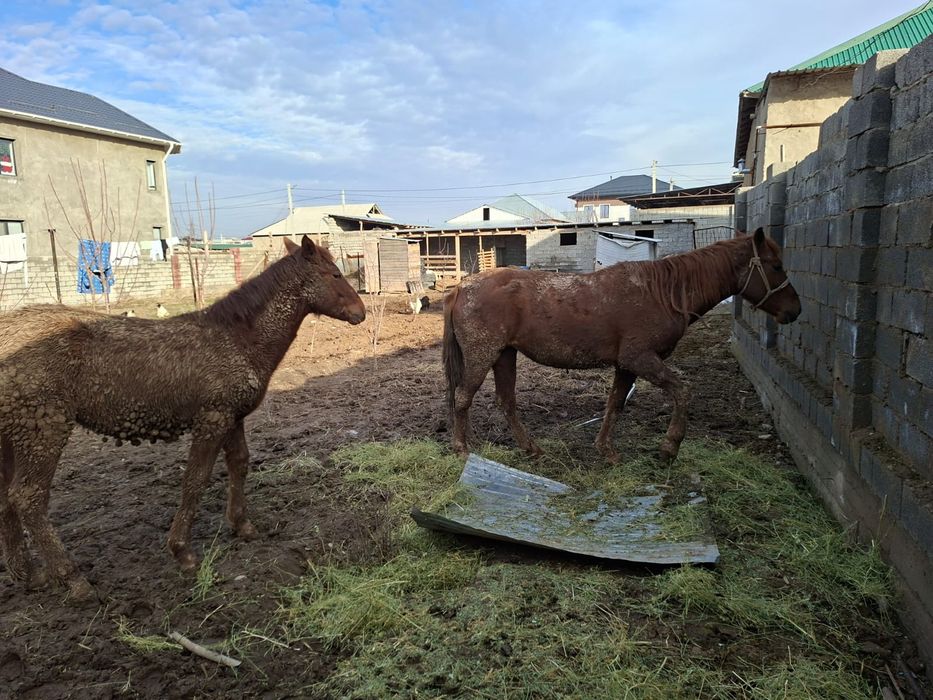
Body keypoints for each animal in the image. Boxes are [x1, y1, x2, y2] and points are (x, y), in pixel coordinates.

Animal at [0, 235, 365, 600]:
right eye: (334, 274)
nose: (360, 312)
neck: (238, 339)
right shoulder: (212, 419)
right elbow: (196, 479)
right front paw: (182, 551)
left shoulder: (233, 417)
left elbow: (239, 464)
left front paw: (242, 525)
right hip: (45, 428)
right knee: (29, 498)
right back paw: (73, 579)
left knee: (8, 498)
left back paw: (29, 576)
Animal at [443, 228, 800, 464]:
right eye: (776, 265)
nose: (795, 310)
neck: (663, 292)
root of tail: (463, 287)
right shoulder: (639, 358)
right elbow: (682, 391)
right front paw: (670, 446)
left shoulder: (626, 365)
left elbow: (615, 404)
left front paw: (606, 449)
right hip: (483, 356)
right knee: (463, 397)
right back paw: (461, 448)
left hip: (505, 355)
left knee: (506, 403)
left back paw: (531, 448)